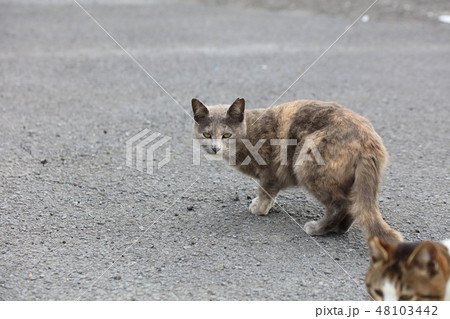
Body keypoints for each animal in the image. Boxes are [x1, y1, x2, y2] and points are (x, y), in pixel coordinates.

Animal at [192, 97, 402, 242]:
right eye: (207, 134)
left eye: (227, 135)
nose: (215, 148)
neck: (249, 131)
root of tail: (369, 140)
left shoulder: (270, 170)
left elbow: (265, 189)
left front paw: (259, 208)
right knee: (351, 205)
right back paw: (340, 228)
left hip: (306, 163)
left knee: (340, 205)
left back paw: (317, 228)